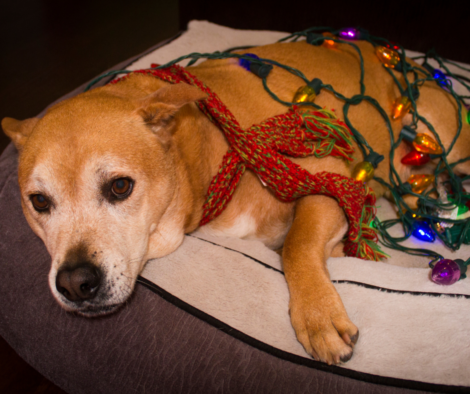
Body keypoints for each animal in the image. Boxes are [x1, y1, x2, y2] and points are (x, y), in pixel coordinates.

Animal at [3, 38, 470, 364]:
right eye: (39, 201)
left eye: (120, 187)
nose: (75, 283)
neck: (203, 155)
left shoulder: (334, 179)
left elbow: (296, 244)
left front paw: (318, 317)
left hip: (443, 135)